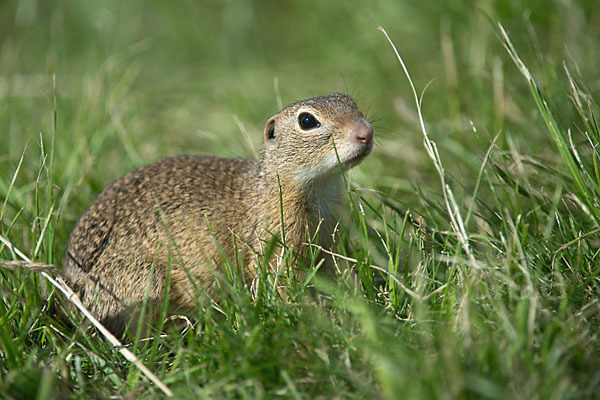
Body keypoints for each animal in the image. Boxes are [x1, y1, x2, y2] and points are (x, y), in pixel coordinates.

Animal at [63, 93, 376, 334]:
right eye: (307, 121)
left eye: (351, 102)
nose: (366, 133)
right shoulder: (276, 242)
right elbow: (282, 280)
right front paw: (312, 315)